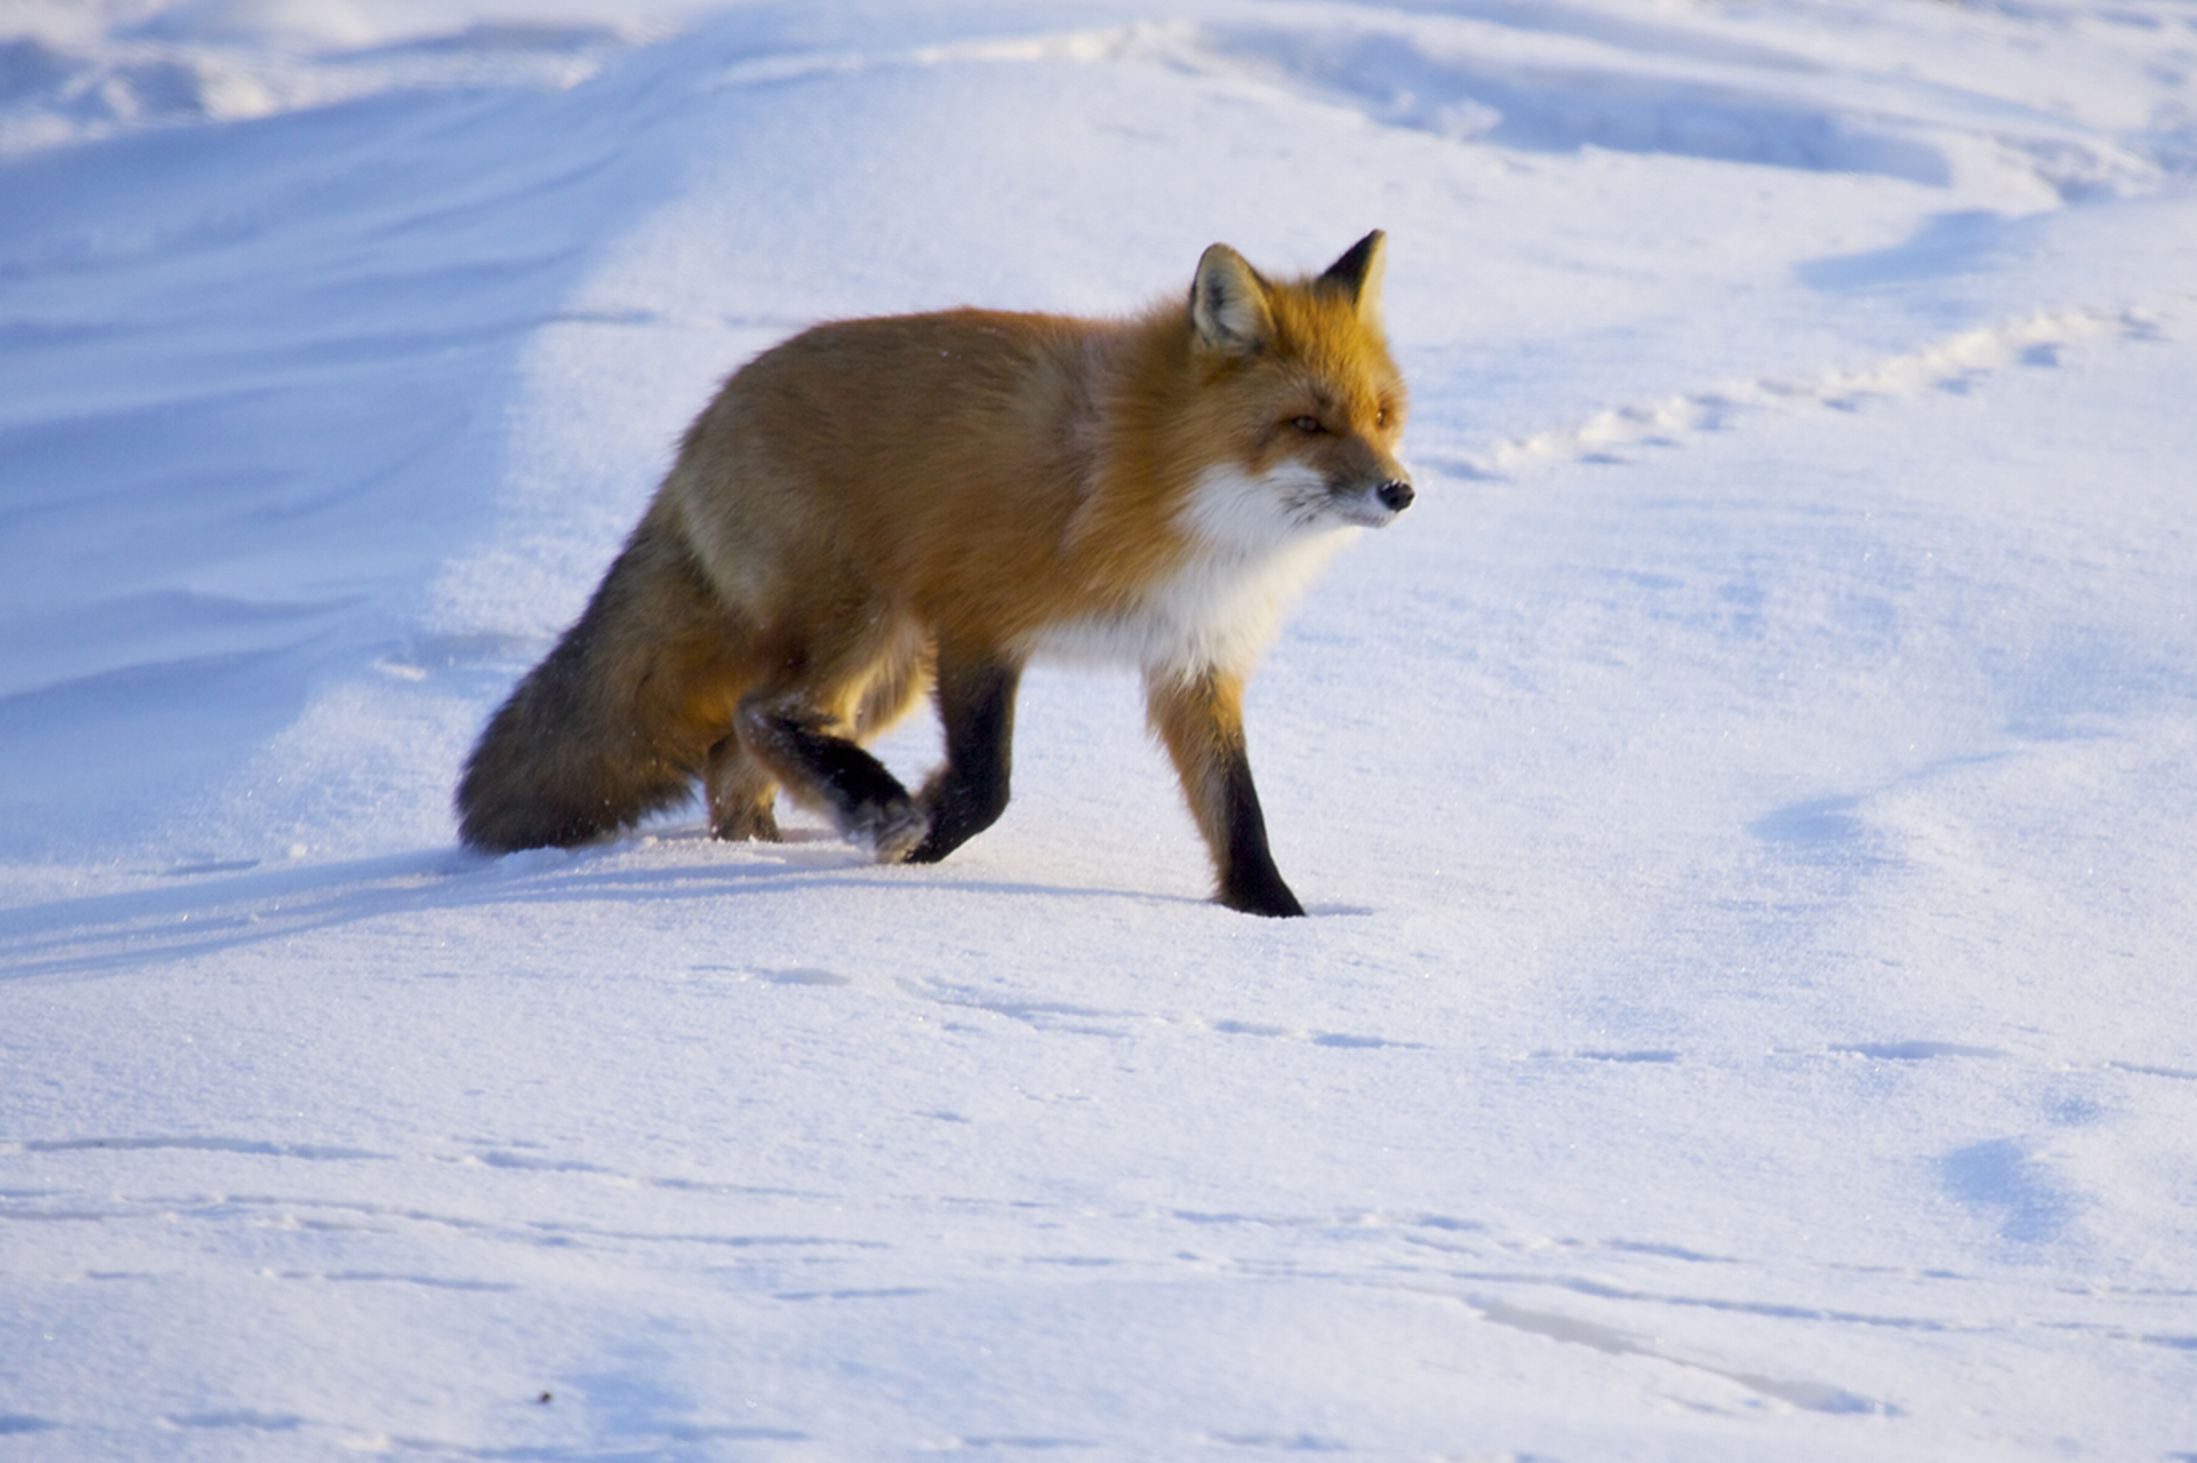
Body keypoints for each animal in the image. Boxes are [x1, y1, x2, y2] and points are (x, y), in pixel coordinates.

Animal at [461, 228, 1414, 913]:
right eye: (1304, 423)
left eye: (1380, 415)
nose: (1400, 491)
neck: (1167, 482)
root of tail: (707, 414)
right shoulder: (979, 620)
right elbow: (986, 785)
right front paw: (918, 846)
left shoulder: (1194, 660)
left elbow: (1238, 815)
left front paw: (1273, 923)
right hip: (868, 624)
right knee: (761, 712)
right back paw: (867, 808)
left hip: (887, 674)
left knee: (736, 758)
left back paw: (763, 845)